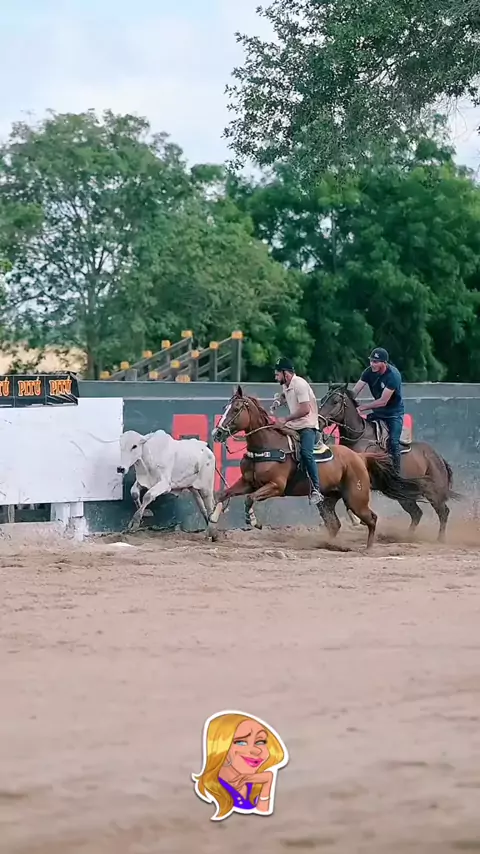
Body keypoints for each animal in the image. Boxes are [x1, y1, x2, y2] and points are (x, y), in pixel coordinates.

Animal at [210, 386, 426, 550]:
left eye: (236, 408)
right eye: (225, 407)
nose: (217, 433)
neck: (266, 445)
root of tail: (359, 457)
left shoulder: (275, 486)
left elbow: (249, 499)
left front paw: (254, 521)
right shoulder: (248, 482)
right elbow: (223, 494)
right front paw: (212, 523)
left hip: (356, 498)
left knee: (371, 518)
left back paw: (368, 548)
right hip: (329, 499)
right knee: (335, 524)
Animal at [317, 383, 463, 541]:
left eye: (335, 401)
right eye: (323, 400)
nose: (319, 421)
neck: (359, 438)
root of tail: (439, 458)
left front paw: (357, 520)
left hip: (433, 492)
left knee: (443, 512)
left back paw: (440, 539)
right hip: (405, 495)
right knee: (417, 513)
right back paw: (407, 536)